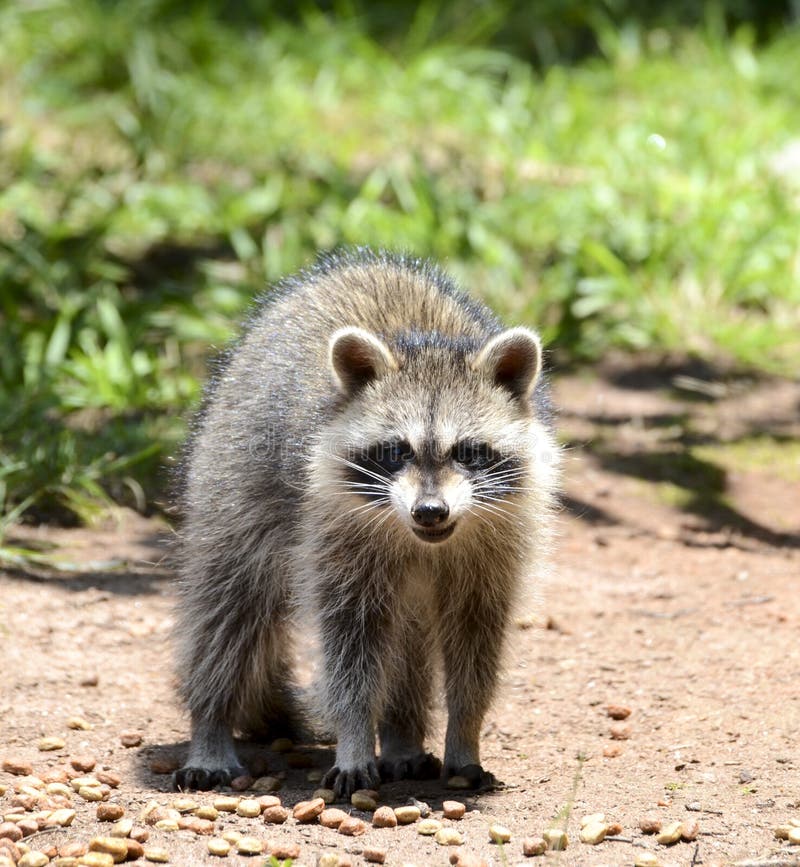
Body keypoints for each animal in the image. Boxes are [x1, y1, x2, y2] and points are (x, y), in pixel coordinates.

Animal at [173, 249, 559, 796]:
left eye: (468, 452)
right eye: (397, 451)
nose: (430, 511)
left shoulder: (498, 544)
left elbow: (475, 644)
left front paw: (465, 734)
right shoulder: (333, 529)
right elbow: (349, 645)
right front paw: (354, 737)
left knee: (408, 641)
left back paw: (401, 736)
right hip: (230, 478)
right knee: (228, 608)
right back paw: (211, 724)